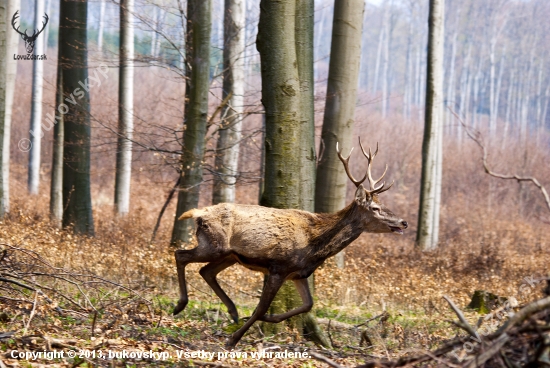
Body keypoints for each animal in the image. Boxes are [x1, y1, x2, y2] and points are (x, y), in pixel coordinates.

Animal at [174, 139, 410, 348]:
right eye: (375, 208)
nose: (404, 222)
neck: (314, 246)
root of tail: (198, 213)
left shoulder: (298, 273)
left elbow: (308, 304)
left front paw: (270, 319)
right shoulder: (279, 267)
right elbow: (261, 308)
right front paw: (233, 339)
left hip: (229, 255)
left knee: (205, 271)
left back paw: (232, 311)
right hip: (215, 245)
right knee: (181, 255)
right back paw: (180, 305)